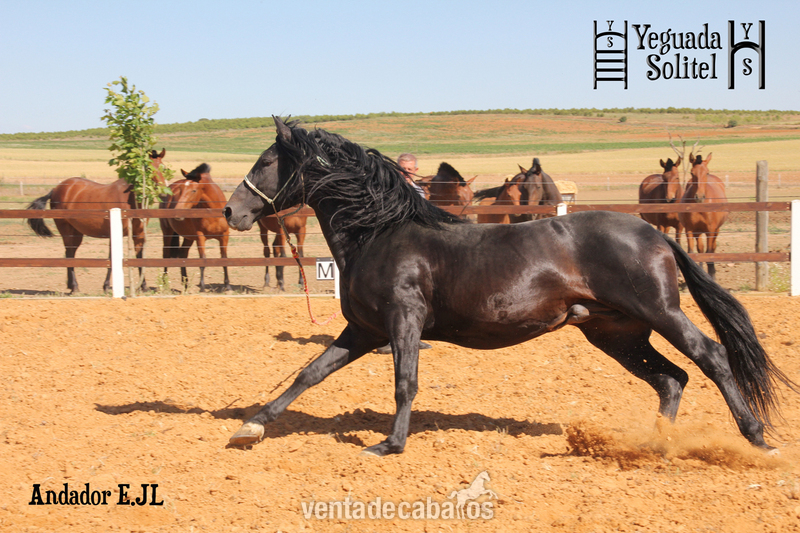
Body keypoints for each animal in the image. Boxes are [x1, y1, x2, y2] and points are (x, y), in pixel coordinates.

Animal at [25, 149, 167, 293]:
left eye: (164, 167)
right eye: (148, 168)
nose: (163, 192)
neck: (130, 199)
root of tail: (55, 189)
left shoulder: (138, 235)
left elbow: (140, 257)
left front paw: (144, 286)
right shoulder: (115, 234)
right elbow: (111, 257)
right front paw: (106, 286)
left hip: (77, 233)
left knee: (70, 253)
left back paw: (71, 285)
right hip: (66, 230)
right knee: (69, 254)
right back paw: (74, 287)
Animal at [159, 163, 231, 292]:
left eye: (194, 190)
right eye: (181, 190)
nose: (177, 213)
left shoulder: (224, 236)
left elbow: (224, 259)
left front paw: (227, 286)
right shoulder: (200, 237)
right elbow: (202, 260)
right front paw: (202, 287)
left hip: (188, 237)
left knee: (183, 253)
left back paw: (186, 284)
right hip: (167, 232)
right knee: (166, 253)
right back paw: (164, 283)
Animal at [223, 117, 795, 457]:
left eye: (266, 162)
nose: (231, 211)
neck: (380, 233)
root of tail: (655, 233)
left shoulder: (402, 322)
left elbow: (405, 382)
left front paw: (390, 444)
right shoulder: (364, 330)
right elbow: (309, 373)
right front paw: (251, 426)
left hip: (660, 314)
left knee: (712, 357)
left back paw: (758, 440)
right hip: (615, 333)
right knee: (672, 379)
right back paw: (655, 444)